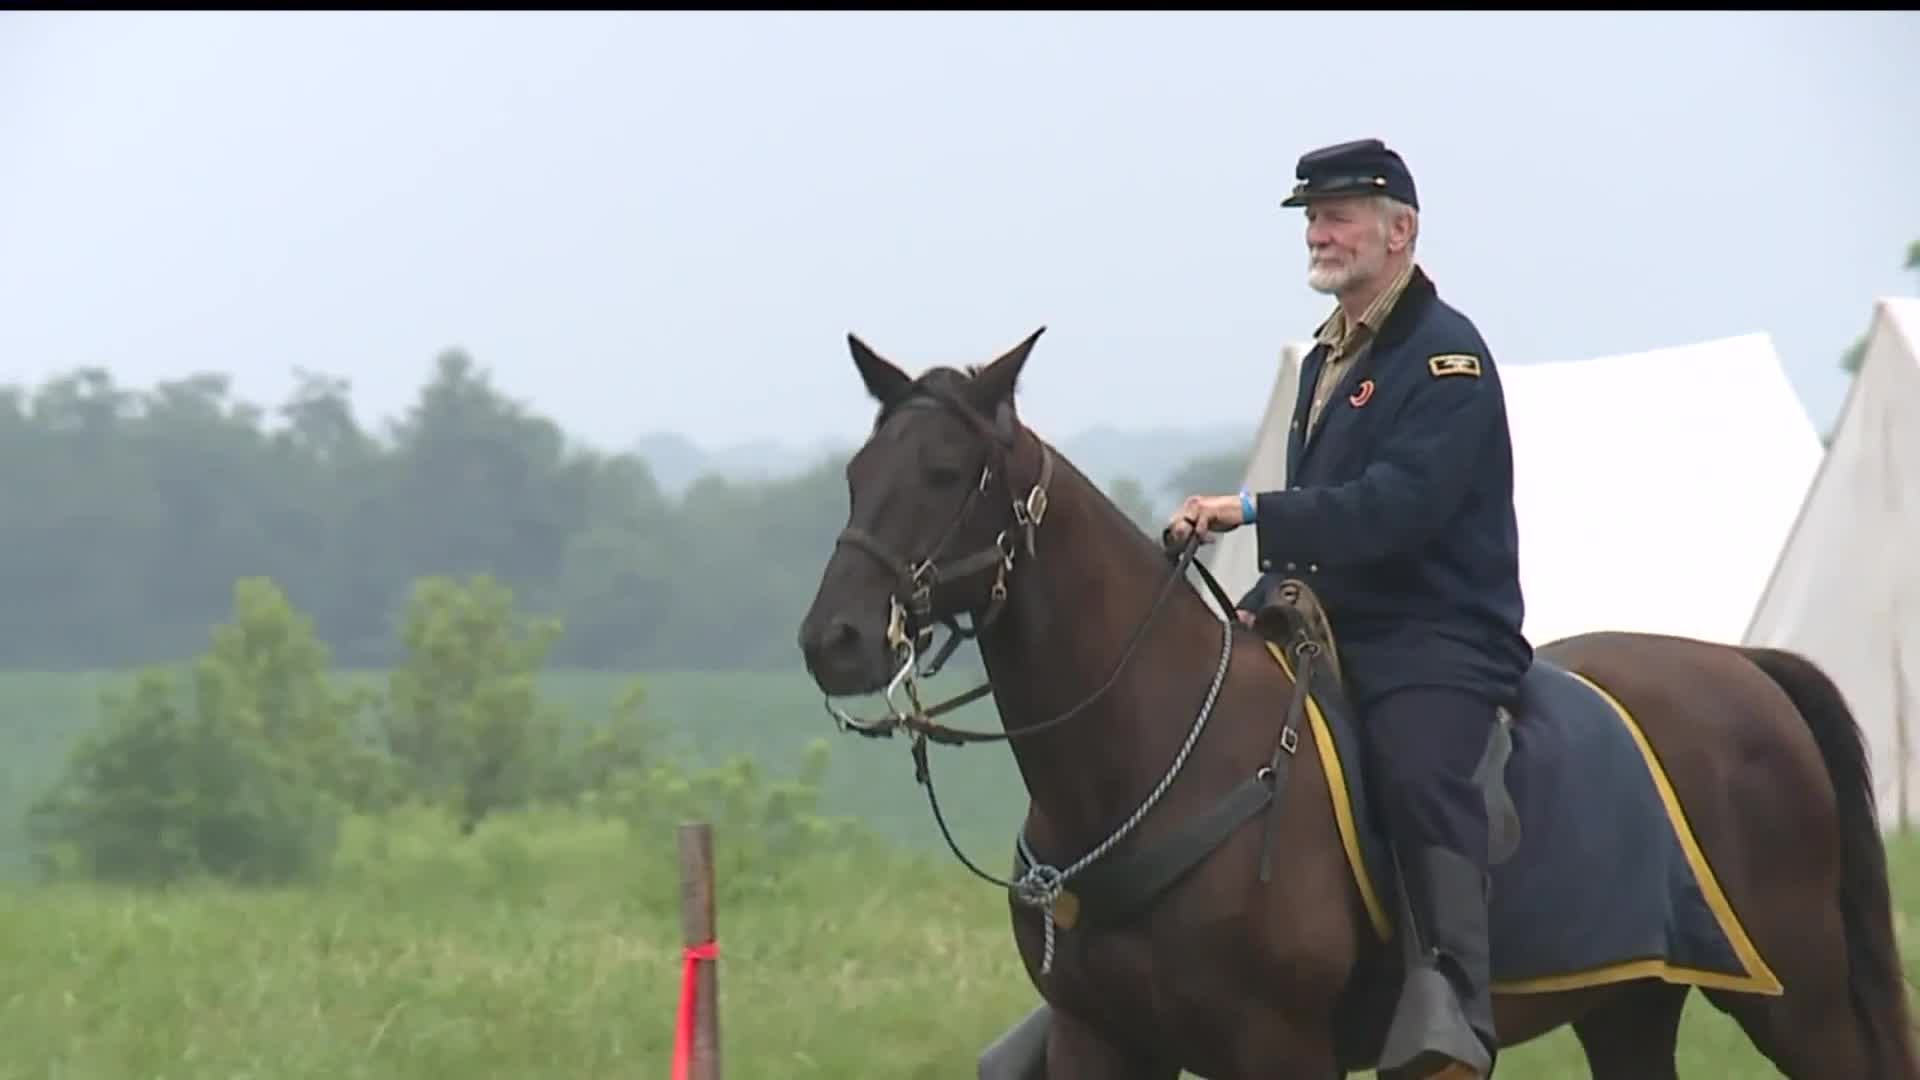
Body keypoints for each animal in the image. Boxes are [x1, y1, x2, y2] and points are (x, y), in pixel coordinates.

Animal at [794, 330, 1920, 1076]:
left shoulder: (1276, 1051)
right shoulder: (1099, 1043)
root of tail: (1750, 672)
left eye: (947, 471)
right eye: (856, 471)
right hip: (1627, 1001)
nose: (831, 641)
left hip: (1801, 1000)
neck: (1152, 762)